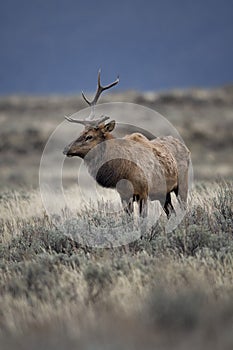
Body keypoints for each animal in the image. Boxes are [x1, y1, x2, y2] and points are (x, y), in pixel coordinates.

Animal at [62, 71, 190, 217]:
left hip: (182, 185)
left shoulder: (143, 192)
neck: (122, 171)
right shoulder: (124, 196)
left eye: (89, 136)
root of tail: (185, 147)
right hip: (164, 193)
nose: (66, 149)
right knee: (171, 213)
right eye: (81, 132)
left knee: (183, 209)